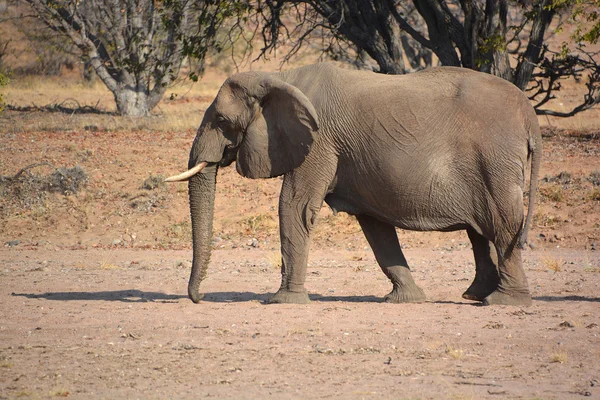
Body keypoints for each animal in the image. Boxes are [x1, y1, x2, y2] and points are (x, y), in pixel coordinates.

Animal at [166, 62, 540, 306]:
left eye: (221, 120)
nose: (200, 298)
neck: (280, 78)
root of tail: (529, 114)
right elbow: (374, 226)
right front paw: (405, 300)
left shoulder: (319, 142)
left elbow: (294, 207)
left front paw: (283, 301)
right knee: (479, 232)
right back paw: (476, 295)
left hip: (494, 161)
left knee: (502, 225)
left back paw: (503, 302)